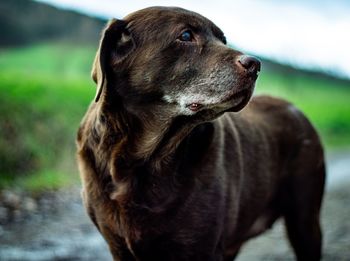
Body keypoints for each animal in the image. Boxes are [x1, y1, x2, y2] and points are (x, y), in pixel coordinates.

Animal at [76, 6, 326, 260]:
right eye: (186, 35)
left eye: (223, 40)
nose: (255, 64)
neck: (143, 161)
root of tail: (295, 108)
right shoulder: (119, 247)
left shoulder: (203, 247)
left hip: (305, 219)